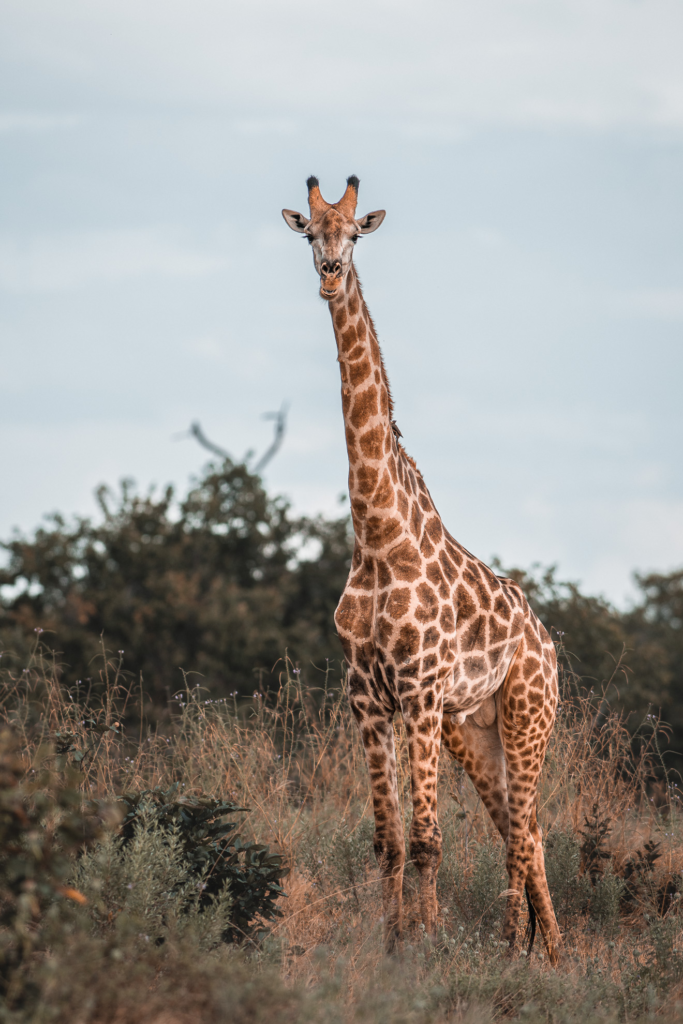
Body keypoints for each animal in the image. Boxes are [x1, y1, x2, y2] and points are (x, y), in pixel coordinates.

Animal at [282, 176, 562, 964]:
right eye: (308, 231)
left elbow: (430, 840)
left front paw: (430, 944)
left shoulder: (420, 691)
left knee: (523, 832)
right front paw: (391, 942)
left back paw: (513, 945)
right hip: (475, 730)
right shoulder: (369, 699)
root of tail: (547, 642)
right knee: (524, 829)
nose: (329, 273)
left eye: (355, 234)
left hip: (527, 715)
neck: (378, 535)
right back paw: (554, 954)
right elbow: (387, 841)